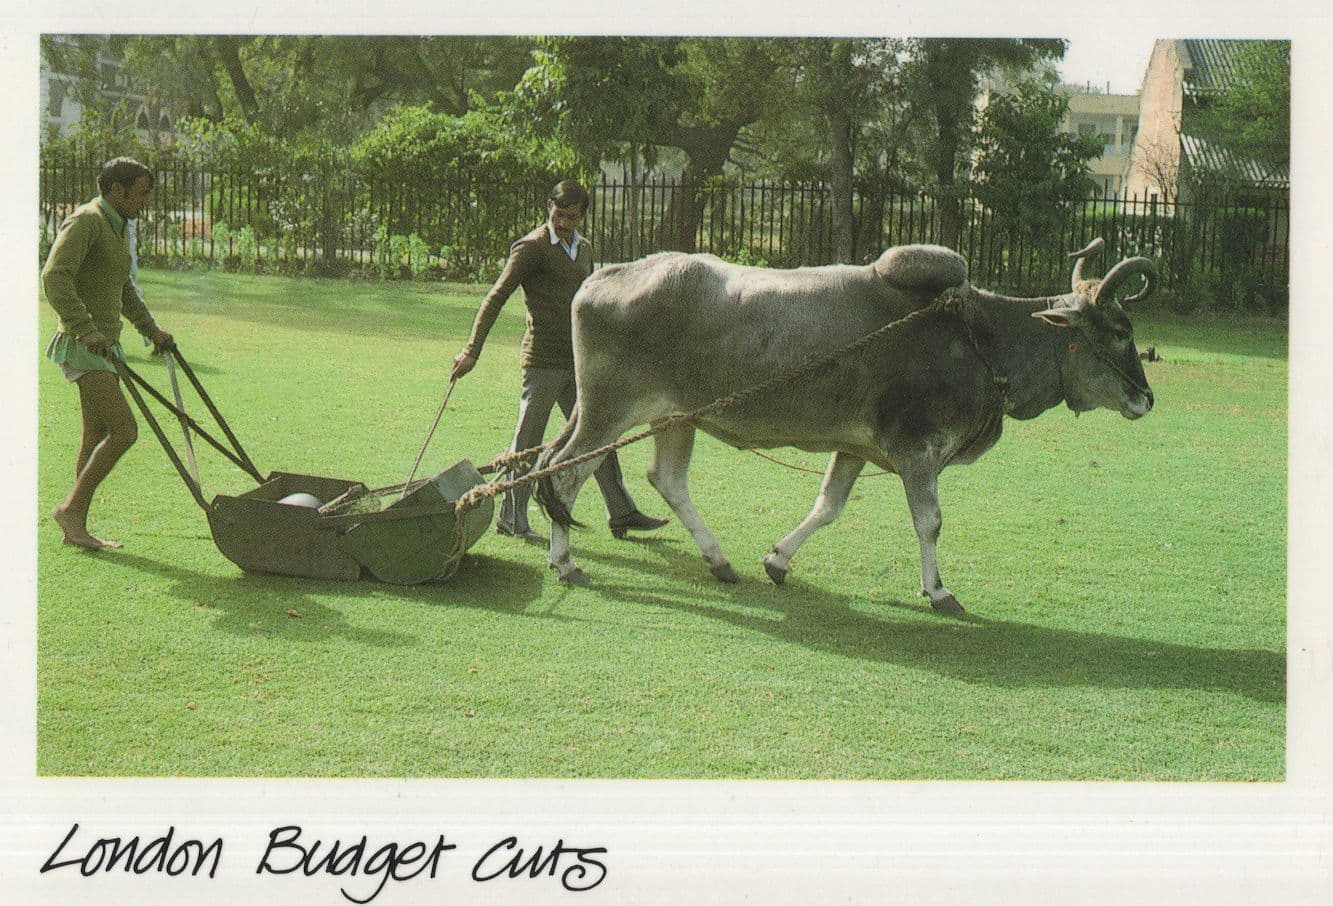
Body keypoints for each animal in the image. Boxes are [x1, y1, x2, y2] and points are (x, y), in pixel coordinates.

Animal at [534, 238, 1155, 613]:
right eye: (1120, 329)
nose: (1146, 398)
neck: (980, 336)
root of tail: (600, 277)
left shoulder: (855, 449)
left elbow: (827, 507)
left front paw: (777, 561)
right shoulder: (917, 452)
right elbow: (929, 522)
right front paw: (938, 590)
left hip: (671, 417)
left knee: (657, 477)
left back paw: (719, 560)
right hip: (609, 414)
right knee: (563, 474)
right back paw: (565, 562)